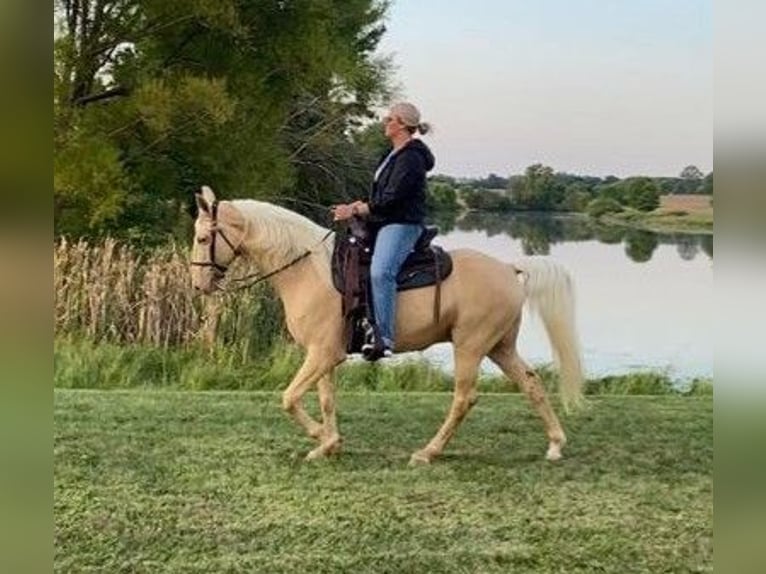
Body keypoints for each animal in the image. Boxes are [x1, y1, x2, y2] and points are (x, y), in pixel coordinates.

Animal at [189, 189, 584, 468]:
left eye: (203, 238)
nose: (197, 284)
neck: (308, 269)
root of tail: (508, 267)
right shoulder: (323, 355)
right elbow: (325, 400)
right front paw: (329, 445)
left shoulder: (322, 354)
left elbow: (289, 398)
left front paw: (323, 440)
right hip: (500, 347)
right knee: (531, 383)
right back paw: (555, 444)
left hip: (470, 347)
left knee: (464, 398)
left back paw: (427, 452)